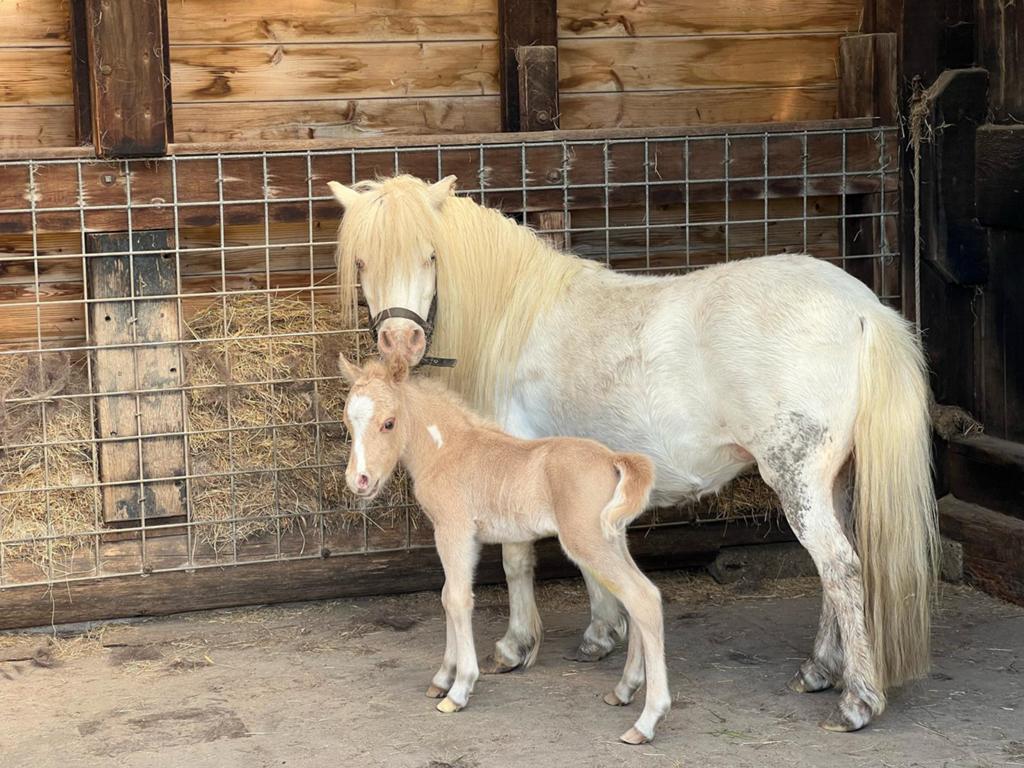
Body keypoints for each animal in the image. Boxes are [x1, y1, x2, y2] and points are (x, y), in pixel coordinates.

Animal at [337, 353, 669, 744]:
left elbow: (457, 600)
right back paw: (624, 690)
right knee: (636, 599)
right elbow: (448, 595)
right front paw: (443, 677)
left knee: (643, 598)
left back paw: (646, 721)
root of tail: (614, 460)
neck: (447, 451)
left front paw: (459, 690)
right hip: (613, 538)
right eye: (347, 421)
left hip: (588, 541)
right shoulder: (464, 537)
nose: (359, 481)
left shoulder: (454, 529)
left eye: (389, 423)